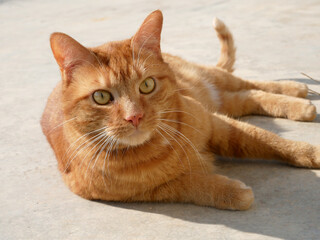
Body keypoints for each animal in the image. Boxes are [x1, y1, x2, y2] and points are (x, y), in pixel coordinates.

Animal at [41, 9, 318, 210]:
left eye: (147, 85)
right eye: (101, 97)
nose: (135, 117)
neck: (160, 148)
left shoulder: (217, 124)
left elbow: (267, 140)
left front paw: (310, 153)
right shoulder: (147, 193)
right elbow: (190, 185)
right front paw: (231, 192)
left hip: (216, 83)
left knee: (252, 86)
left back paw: (297, 95)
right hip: (222, 100)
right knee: (246, 97)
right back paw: (301, 103)